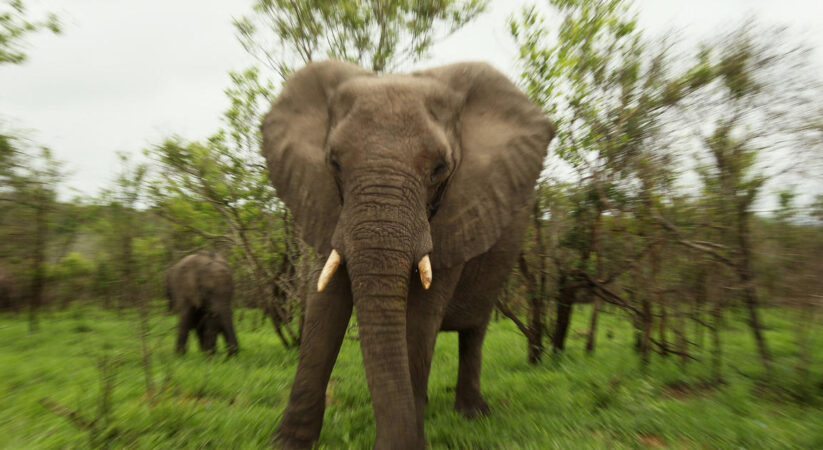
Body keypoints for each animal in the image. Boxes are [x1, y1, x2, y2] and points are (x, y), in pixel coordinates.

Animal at [266, 61, 552, 448]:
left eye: (440, 168)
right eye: (334, 163)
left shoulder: (462, 211)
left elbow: (419, 318)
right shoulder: (326, 203)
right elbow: (324, 307)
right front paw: (286, 443)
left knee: (474, 331)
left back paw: (473, 414)